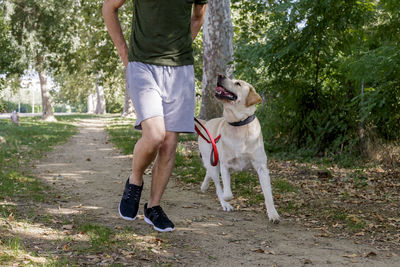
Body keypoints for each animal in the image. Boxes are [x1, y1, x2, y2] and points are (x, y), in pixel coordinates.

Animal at [198, 74, 280, 223]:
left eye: (238, 83)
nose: (220, 75)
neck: (238, 124)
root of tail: (206, 123)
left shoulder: (262, 167)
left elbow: (268, 194)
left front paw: (273, 214)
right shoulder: (225, 165)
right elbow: (226, 192)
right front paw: (226, 198)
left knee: (209, 173)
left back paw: (204, 186)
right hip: (211, 159)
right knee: (216, 181)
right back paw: (224, 203)